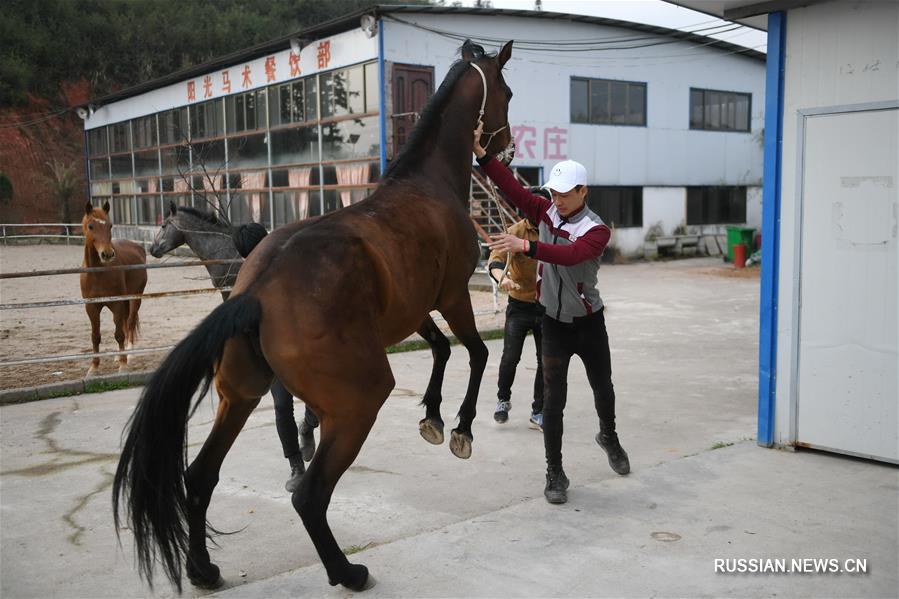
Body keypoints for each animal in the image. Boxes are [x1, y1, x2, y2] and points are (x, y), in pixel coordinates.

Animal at [80, 204, 147, 378]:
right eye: (91, 226)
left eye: (110, 225)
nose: (107, 254)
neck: (98, 273)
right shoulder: (91, 307)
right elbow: (95, 336)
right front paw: (93, 368)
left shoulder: (117, 304)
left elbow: (119, 334)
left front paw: (123, 366)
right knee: (123, 324)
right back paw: (118, 355)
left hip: (135, 298)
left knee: (129, 324)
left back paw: (128, 355)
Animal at [112, 39, 512, 592]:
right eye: (507, 94)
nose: (507, 148)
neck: (426, 184)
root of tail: (256, 291)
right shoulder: (453, 296)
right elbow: (474, 353)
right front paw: (461, 429)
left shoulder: (412, 310)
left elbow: (440, 348)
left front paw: (432, 416)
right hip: (358, 402)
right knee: (310, 493)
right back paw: (347, 571)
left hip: (240, 396)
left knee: (200, 477)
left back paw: (204, 569)